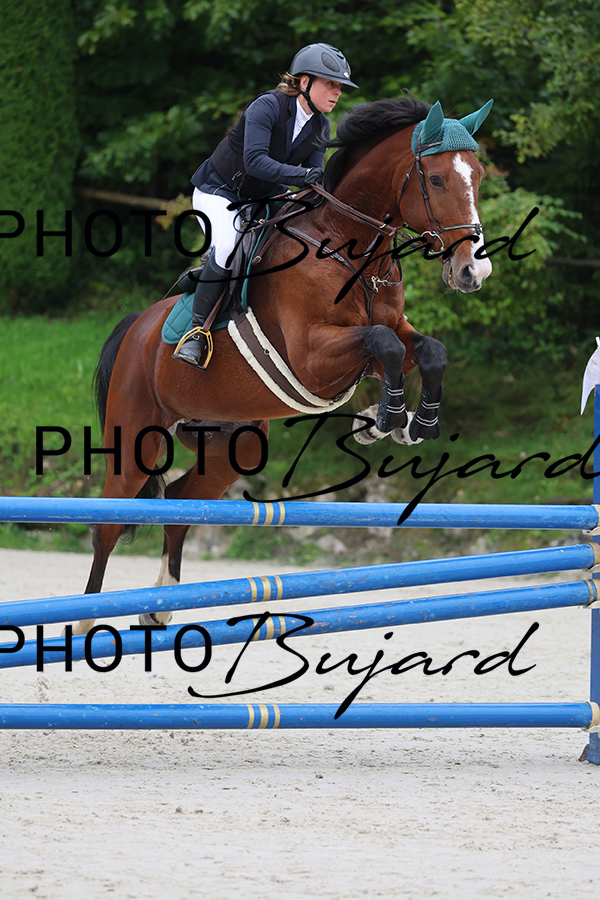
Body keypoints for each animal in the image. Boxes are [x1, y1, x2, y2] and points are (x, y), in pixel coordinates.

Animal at [73, 96, 493, 634]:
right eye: (437, 179)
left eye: (477, 176)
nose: (473, 271)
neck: (349, 247)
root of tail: (135, 328)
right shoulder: (314, 357)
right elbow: (385, 347)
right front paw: (386, 420)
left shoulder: (389, 333)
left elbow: (423, 351)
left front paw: (400, 425)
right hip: (135, 441)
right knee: (107, 523)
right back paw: (85, 622)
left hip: (235, 445)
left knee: (183, 505)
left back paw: (159, 605)